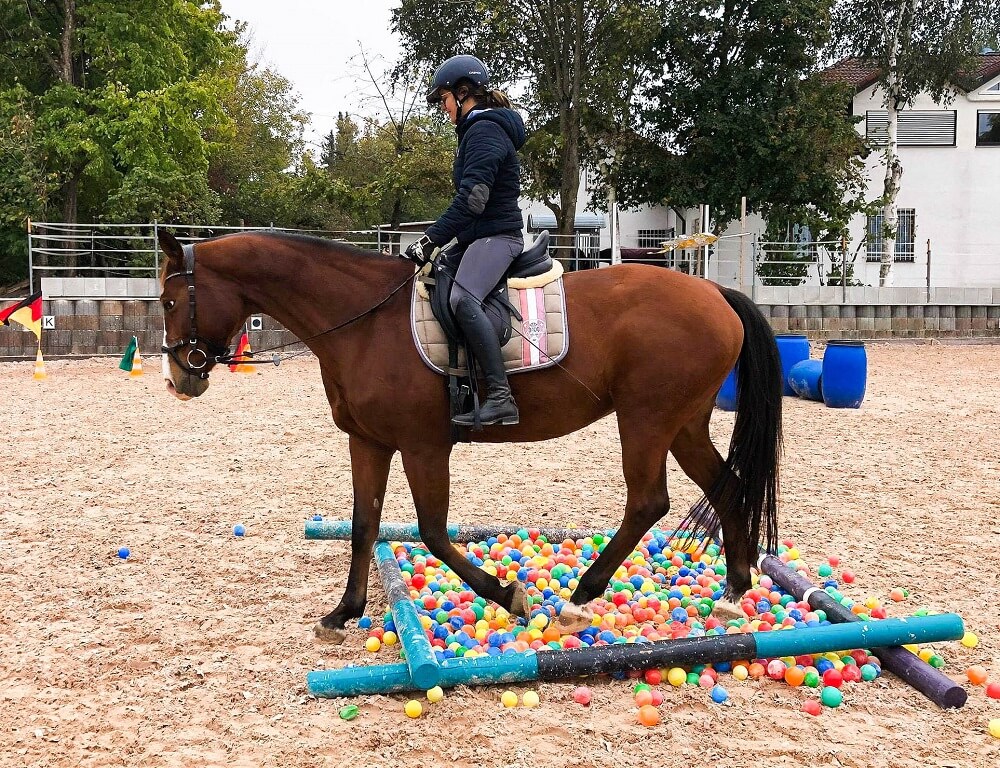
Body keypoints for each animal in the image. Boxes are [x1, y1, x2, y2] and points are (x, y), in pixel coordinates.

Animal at [158, 231, 780, 640]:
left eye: (170, 300)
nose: (180, 378)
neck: (365, 322)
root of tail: (716, 294)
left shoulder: (424, 447)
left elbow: (433, 532)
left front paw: (509, 594)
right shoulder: (369, 442)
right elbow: (363, 524)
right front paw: (345, 611)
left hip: (647, 420)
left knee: (649, 501)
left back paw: (582, 594)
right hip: (682, 424)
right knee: (726, 487)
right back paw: (734, 593)